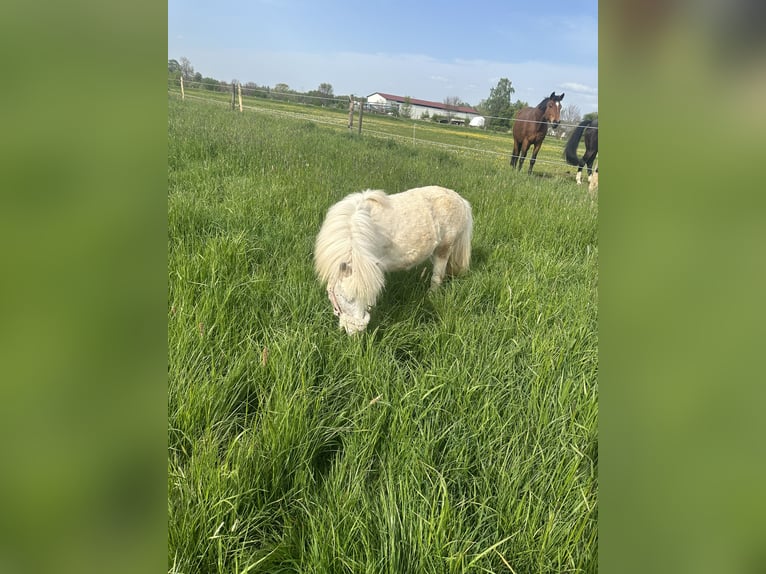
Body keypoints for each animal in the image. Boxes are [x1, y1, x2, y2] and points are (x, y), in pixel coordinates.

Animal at [314, 187, 474, 336]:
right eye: (345, 298)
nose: (355, 333)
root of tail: (460, 200)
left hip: (444, 248)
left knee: (437, 277)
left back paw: (431, 296)